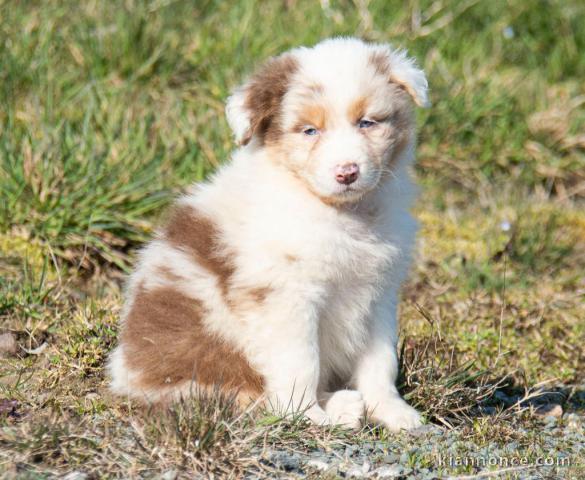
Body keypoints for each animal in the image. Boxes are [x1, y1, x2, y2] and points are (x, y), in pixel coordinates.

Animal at [108, 37, 428, 432]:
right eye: (310, 130)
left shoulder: (379, 292)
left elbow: (380, 361)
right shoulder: (286, 295)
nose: (347, 172)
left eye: (367, 122)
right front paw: (308, 416)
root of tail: (125, 372)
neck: (342, 213)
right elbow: (301, 363)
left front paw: (393, 412)